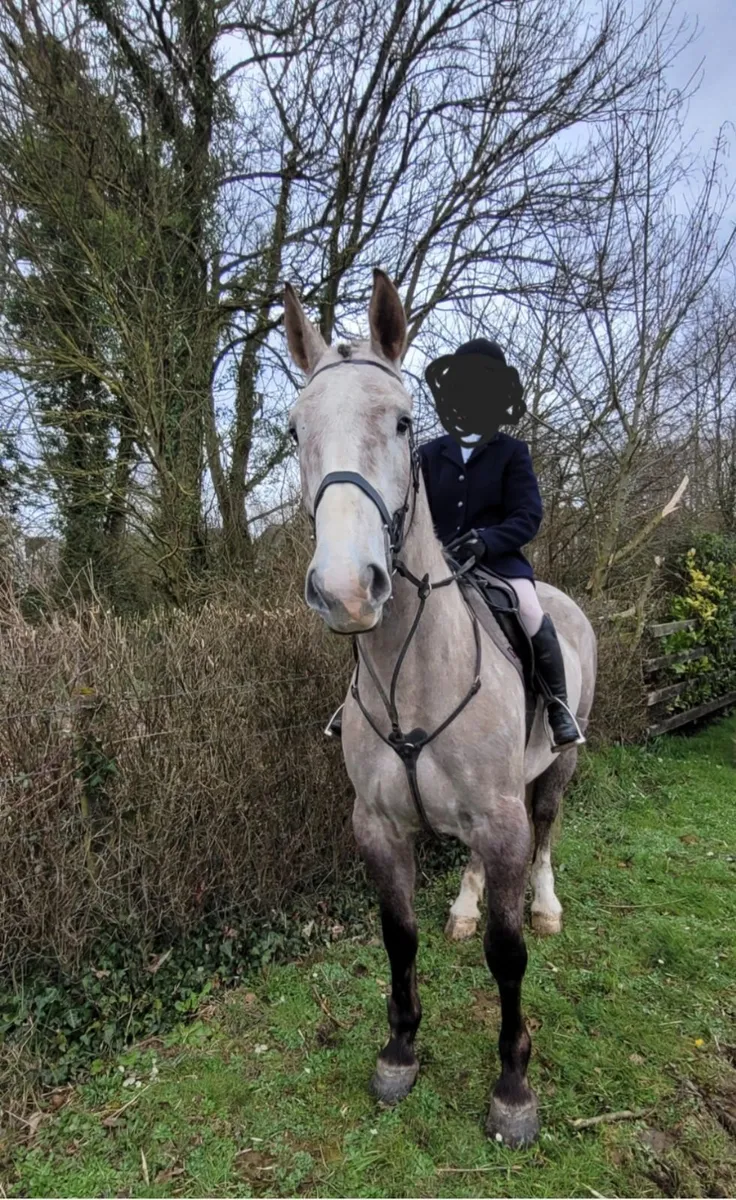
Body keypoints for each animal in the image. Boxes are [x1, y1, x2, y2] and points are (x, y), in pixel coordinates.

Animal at [283, 268, 597, 1148]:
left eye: (401, 420)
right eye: (295, 431)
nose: (348, 590)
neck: (409, 670)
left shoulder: (504, 822)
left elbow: (508, 952)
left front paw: (514, 1088)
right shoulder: (379, 827)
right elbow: (399, 937)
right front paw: (399, 1050)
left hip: (556, 772)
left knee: (549, 830)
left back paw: (550, 905)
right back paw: (460, 908)